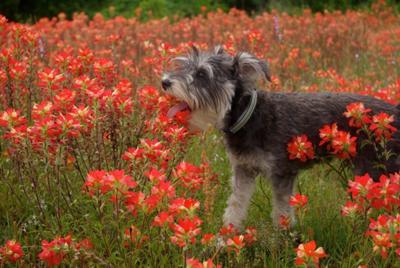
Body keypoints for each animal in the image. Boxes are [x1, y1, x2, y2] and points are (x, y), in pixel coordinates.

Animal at [160, 45, 400, 228]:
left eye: (202, 74)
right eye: (184, 65)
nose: (164, 82)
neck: (250, 117)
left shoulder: (282, 174)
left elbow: (281, 213)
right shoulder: (243, 170)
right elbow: (235, 206)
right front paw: (225, 239)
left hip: (379, 170)